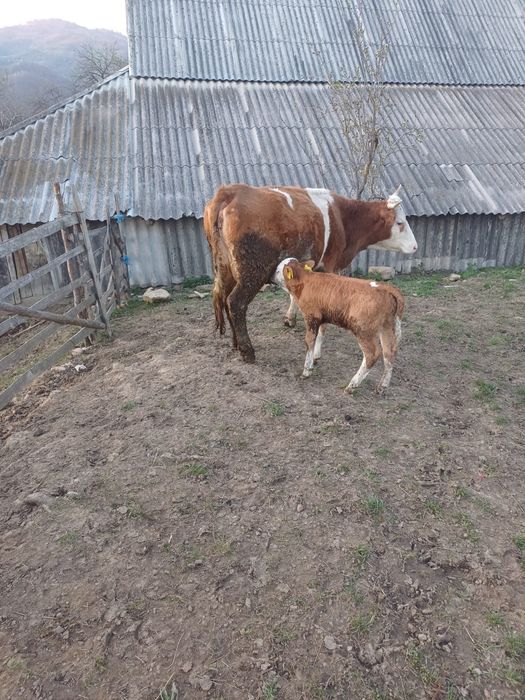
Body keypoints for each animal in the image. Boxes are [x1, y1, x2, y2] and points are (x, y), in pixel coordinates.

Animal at [203, 183, 416, 362]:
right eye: (399, 222)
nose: (415, 246)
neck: (342, 218)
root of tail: (229, 192)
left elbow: (294, 291)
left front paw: (290, 319)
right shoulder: (330, 266)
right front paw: (316, 352)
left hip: (225, 269)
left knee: (223, 297)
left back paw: (235, 343)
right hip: (252, 273)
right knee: (235, 302)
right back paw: (247, 351)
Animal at [272, 258, 405, 394]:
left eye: (277, 270)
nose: (272, 277)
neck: (305, 280)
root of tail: (388, 288)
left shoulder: (311, 316)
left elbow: (309, 342)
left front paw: (306, 370)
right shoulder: (322, 317)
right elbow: (321, 335)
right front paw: (315, 358)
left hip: (363, 330)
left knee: (372, 354)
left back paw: (352, 385)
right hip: (387, 327)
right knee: (389, 352)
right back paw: (382, 386)